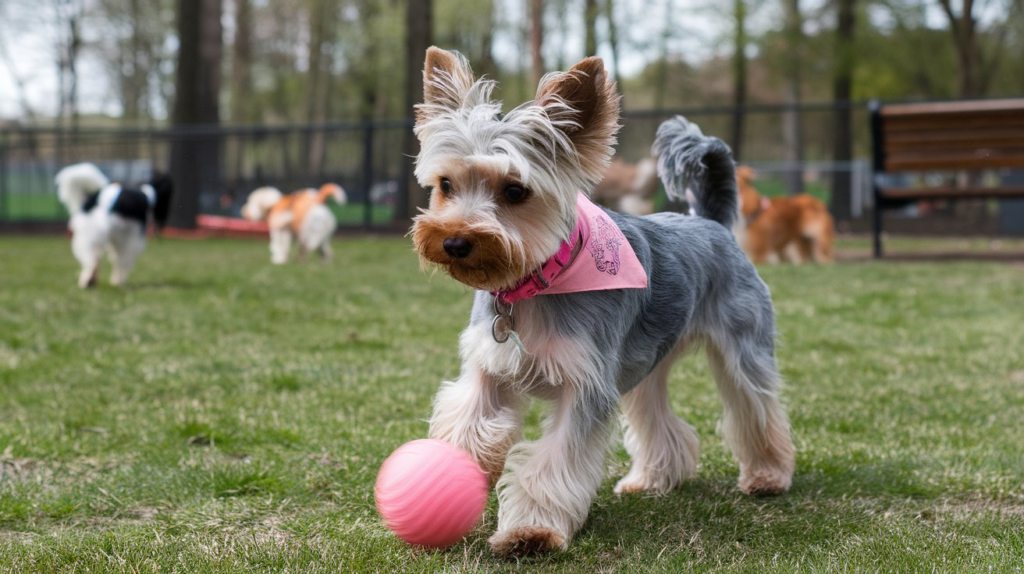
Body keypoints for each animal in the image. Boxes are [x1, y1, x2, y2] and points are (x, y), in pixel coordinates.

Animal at [407, 49, 790, 556]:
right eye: (446, 184)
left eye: (515, 190)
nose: (453, 242)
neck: (534, 285)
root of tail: (711, 222)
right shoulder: (487, 369)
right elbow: (469, 424)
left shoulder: (585, 385)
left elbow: (555, 460)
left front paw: (532, 531)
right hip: (646, 363)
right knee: (656, 415)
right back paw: (653, 478)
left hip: (741, 348)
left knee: (755, 407)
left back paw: (767, 475)